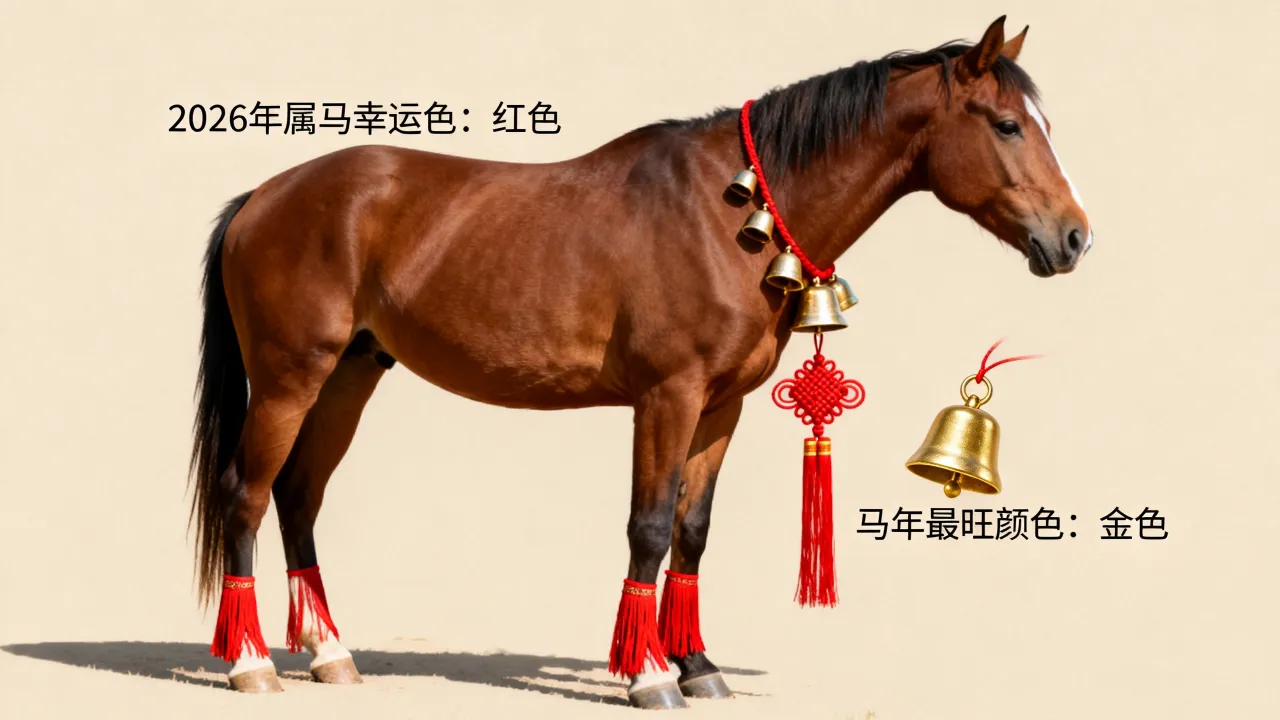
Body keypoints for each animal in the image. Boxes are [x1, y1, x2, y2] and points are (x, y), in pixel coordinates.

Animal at [187, 15, 1091, 708]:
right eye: (1007, 125)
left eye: (1044, 125)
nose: (1075, 238)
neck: (729, 216)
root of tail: (262, 197)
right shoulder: (668, 395)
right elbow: (649, 526)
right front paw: (650, 675)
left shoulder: (721, 406)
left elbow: (692, 530)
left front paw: (699, 667)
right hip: (288, 379)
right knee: (247, 496)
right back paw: (252, 665)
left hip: (351, 374)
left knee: (299, 496)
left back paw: (330, 655)